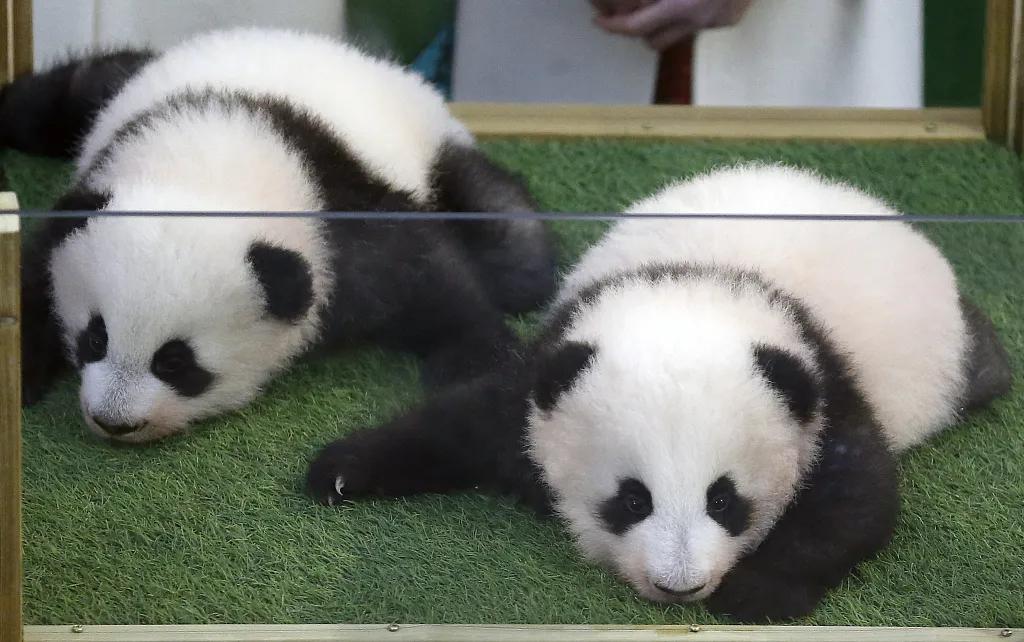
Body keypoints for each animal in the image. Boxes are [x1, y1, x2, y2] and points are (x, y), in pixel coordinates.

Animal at [4, 28, 555, 443]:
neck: (209, 168)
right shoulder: (85, 196)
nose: (115, 422)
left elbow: (426, 276)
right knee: (55, 99)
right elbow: (32, 275)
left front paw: (479, 361)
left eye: (176, 362)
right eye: (95, 337)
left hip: (431, 150)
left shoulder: (340, 212)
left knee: (510, 246)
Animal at [306, 165, 1012, 621]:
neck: (697, 286)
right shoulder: (551, 368)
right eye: (631, 499)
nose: (679, 586)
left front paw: (756, 593)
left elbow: (855, 501)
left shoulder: (820, 382)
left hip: (940, 355)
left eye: (725, 499)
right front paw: (343, 471)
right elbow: (466, 422)